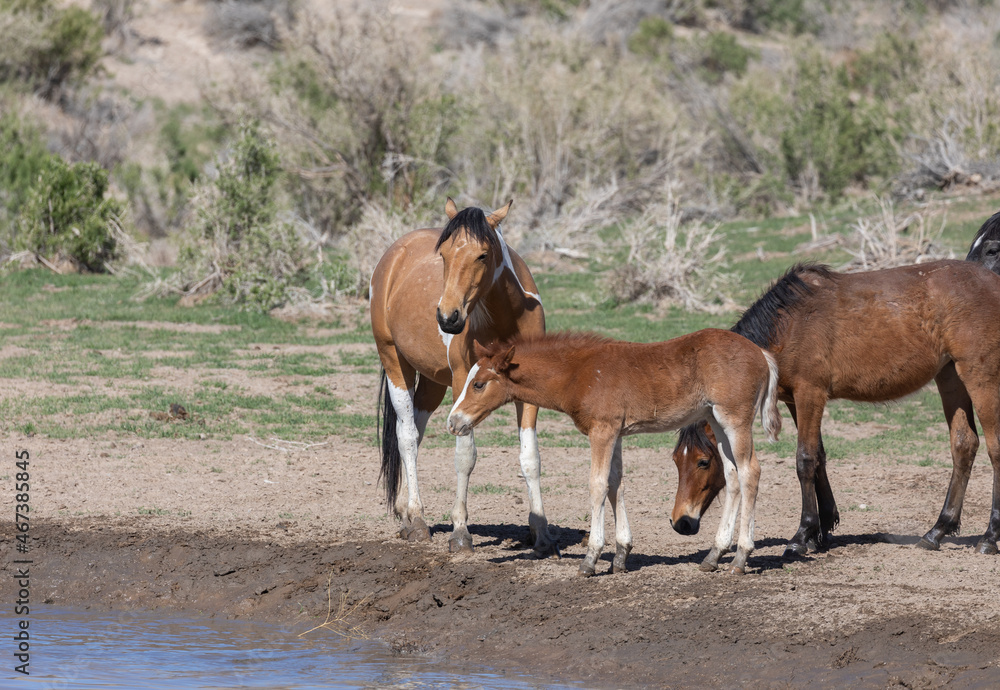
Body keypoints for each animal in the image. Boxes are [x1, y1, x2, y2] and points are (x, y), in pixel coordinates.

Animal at [369, 198, 557, 557]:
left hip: (431, 383)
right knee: (407, 437)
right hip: (396, 364)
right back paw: (417, 519)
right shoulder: (461, 383)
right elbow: (465, 455)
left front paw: (541, 533)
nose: (448, 317)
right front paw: (460, 532)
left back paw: (405, 512)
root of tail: (393, 255)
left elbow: (531, 458)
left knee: (414, 433)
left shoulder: (528, 391)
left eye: (482, 254)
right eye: (443, 254)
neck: (505, 317)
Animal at [447, 330, 781, 576]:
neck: (578, 373)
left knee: (750, 472)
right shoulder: (616, 433)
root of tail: (762, 354)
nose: (453, 422)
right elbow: (615, 483)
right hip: (716, 420)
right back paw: (714, 555)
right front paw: (621, 554)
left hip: (735, 419)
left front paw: (591, 558)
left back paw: (740, 558)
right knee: (732, 476)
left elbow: (597, 485)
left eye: (478, 384)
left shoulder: (603, 431)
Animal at [670, 259, 1000, 558]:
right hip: (950, 377)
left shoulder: (810, 394)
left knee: (994, 449)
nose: (681, 523)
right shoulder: (795, 400)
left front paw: (801, 535)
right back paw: (937, 531)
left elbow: (804, 460)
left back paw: (989, 537)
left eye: (703, 461)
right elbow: (819, 457)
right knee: (963, 445)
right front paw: (822, 529)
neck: (790, 325)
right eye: (676, 460)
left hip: (981, 378)